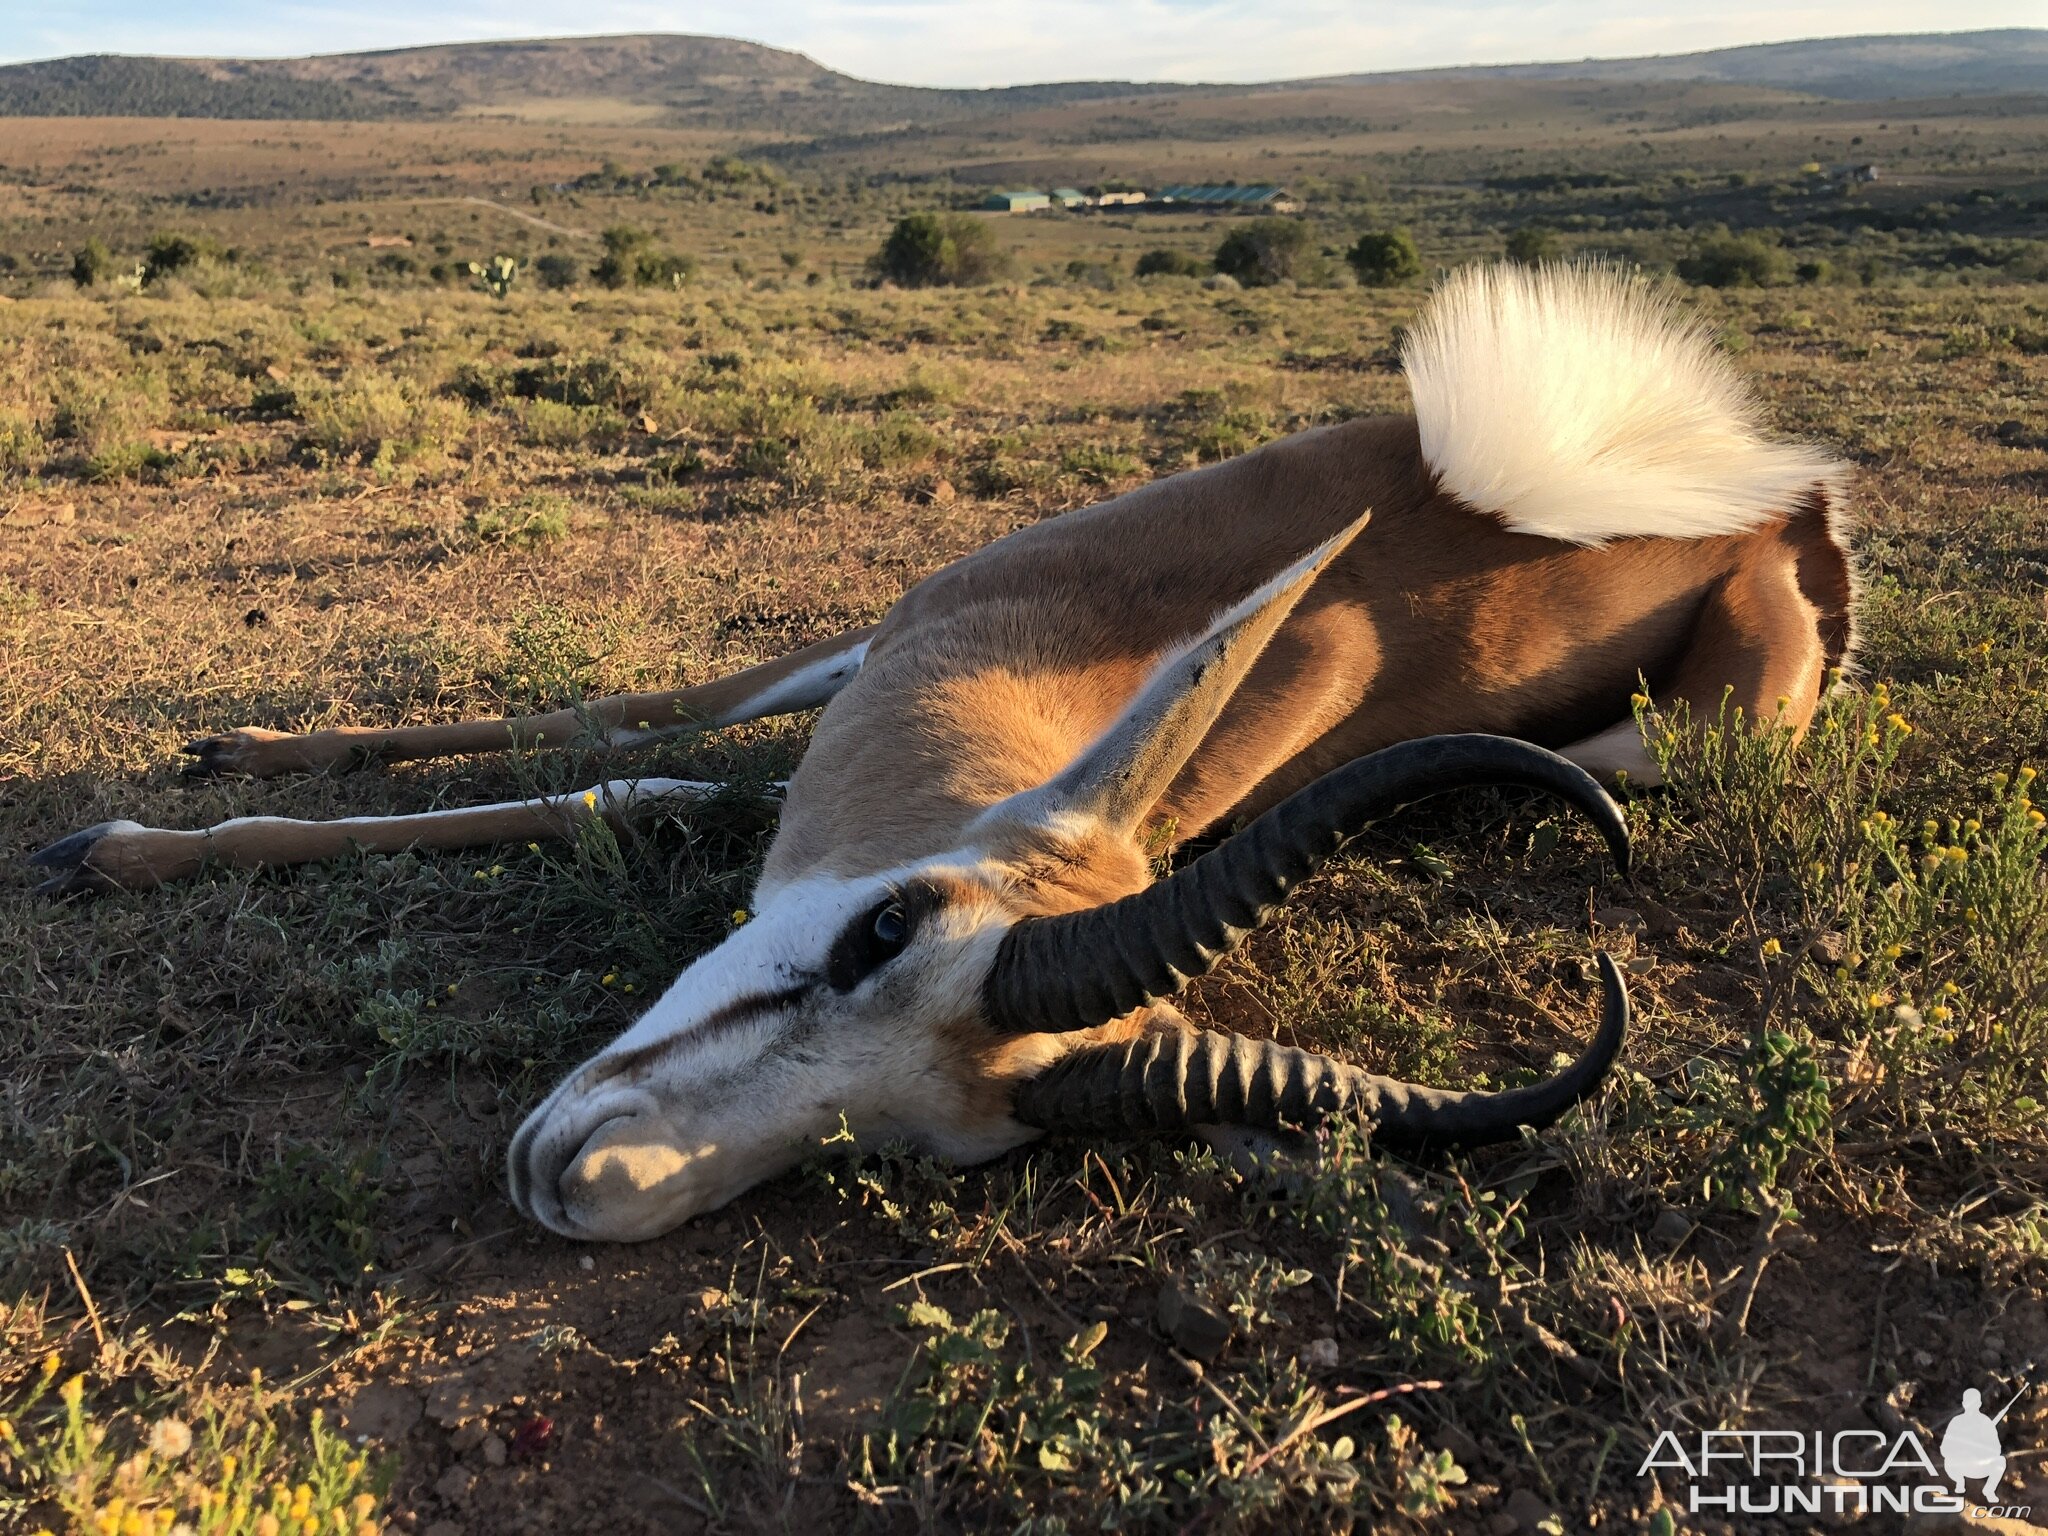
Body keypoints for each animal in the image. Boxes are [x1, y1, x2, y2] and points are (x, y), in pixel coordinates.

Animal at [32, 270, 1859, 1245]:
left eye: (927, 1144)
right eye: (883, 928)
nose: (595, 1187)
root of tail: (1781, 505)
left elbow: (649, 791)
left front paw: (128, 837)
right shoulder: (873, 641)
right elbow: (632, 747)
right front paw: (145, 819)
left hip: (1698, 738)